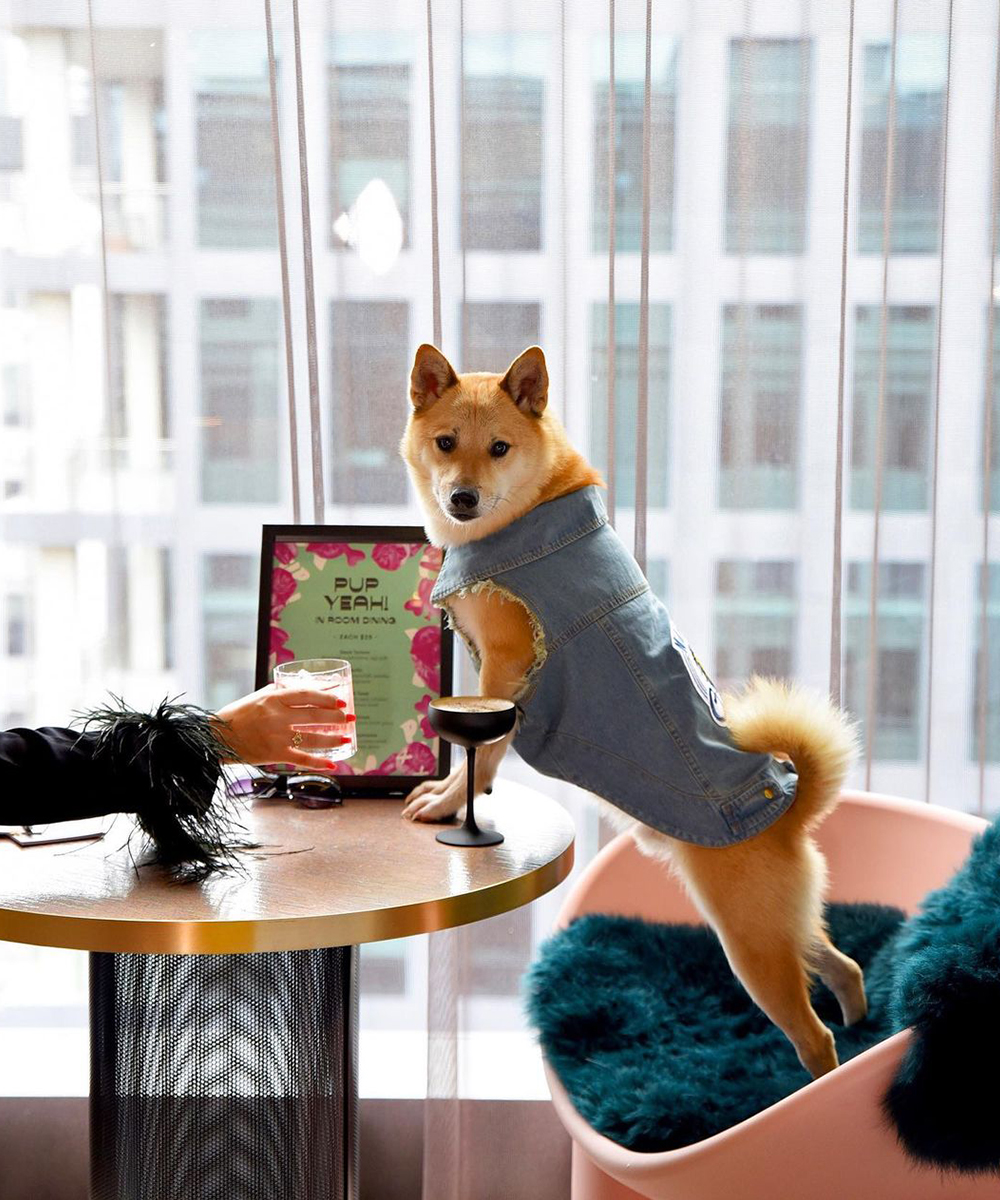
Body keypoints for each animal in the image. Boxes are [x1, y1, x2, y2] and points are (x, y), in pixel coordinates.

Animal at [398, 340, 864, 1080]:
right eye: (446, 442)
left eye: (498, 448)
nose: (462, 497)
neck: (529, 512)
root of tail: (789, 806)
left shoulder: (506, 668)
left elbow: (487, 751)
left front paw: (450, 800)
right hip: (779, 926)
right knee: (843, 964)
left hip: (751, 943)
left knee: (813, 1035)